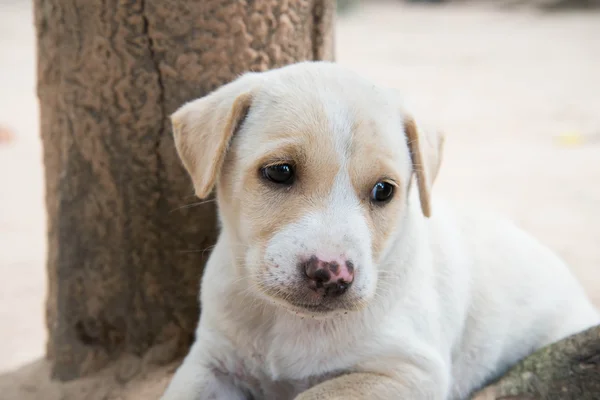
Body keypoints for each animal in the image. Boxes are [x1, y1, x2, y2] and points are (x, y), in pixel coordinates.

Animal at [161, 60, 600, 400]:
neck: (287, 322)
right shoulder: (210, 361)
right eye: (280, 171)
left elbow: (316, 392)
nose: (332, 273)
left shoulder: (408, 372)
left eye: (384, 190)